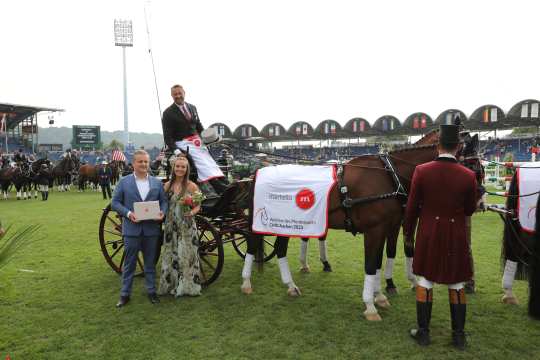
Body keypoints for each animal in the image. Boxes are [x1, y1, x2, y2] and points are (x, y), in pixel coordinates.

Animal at [240, 135, 480, 320]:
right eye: (471, 166)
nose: (478, 202)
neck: (389, 176)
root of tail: (256, 173)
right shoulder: (375, 230)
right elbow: (371, 264)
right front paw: (371, 305)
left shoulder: (387, 227)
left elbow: (381, 259)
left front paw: (380, 294)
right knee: (252, 244)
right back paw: (247, 282)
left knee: (281, 249)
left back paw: (291, 285)